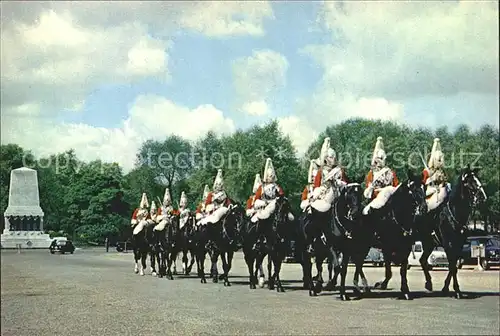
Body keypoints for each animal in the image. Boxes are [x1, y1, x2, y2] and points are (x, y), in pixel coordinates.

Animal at [366, 169, 428, 300]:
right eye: (413, 188)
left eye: (424, 187)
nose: (424, 208)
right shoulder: (386, 248)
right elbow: (389, 270)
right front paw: (382, 284)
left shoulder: (406, 248)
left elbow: (403, 269)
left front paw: (405, 290)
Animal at [416, 166, 486, 300]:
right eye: (470, 181)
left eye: (478, 179)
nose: (483, 197)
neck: (453, 214)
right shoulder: (449, 245)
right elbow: (452, 266)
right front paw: (457, 290)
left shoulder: (458, 246)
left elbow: (453, 266)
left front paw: (446, 288)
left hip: (429, 244)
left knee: (422, 260)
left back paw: (429, 283)